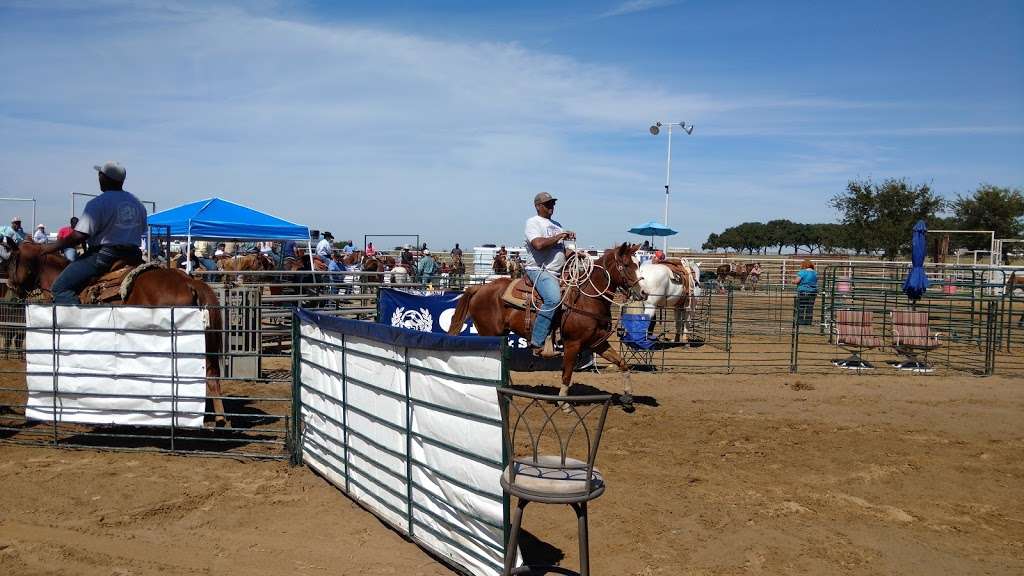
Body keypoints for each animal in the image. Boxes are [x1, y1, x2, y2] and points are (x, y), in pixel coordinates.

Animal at [446, 241, 638, 403]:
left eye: (638, 264)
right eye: (627, 265)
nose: (641, 292)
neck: (587, 298)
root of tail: (479, 288)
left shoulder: (597, 342)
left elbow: (622, 363)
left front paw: (628, 395)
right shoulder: (573, 344)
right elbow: (567, 374)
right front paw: (563, 403)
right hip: (490, 334)